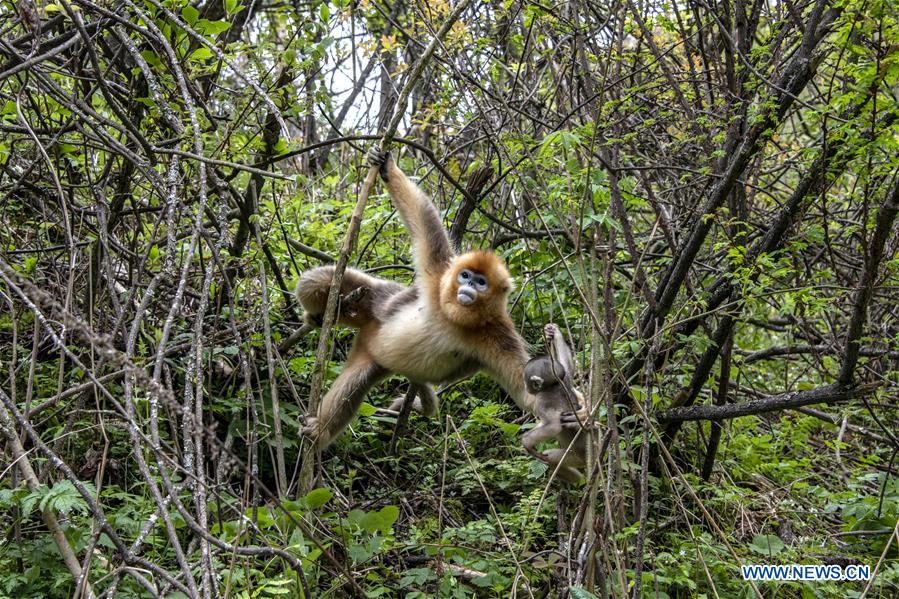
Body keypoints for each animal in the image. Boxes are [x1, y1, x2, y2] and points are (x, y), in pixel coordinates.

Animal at [298, 149, 536, 450]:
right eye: (465, 275)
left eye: (481, 282)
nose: (468, 286)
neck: (452, 318)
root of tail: (368, 335)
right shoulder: (437, 279)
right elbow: (423, 220)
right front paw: (387, 167)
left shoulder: (498, 334)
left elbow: (526, 391)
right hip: (374, 305)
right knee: (315, 281)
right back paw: (318, 316)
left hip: (375, 360)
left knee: (355, 386)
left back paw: (321, 431)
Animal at [524, 324, 596, 482]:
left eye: (526, 381)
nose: (525, 386)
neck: (553, 385)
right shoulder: (565, 378)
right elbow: (567, 367)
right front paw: (553, 332)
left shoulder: (542, 401)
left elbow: (553, 427)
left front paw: (526, 444)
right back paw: (581, 480)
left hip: (575, 457)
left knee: (550, 457)